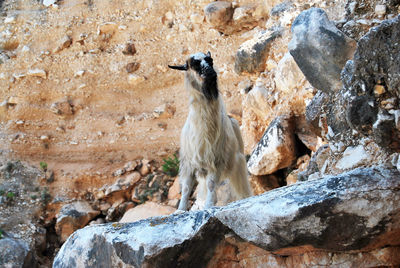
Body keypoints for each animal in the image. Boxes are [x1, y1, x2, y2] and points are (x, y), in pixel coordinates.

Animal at [170, 51, 253, 211]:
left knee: (241, 189)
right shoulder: (188, 163)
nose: (211, 73)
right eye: (193, 65)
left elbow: (211, 184)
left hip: (237, 165)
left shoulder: (216, 161)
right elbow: (186, 188)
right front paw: (180, 210)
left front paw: (209, 205)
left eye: (211, 60)